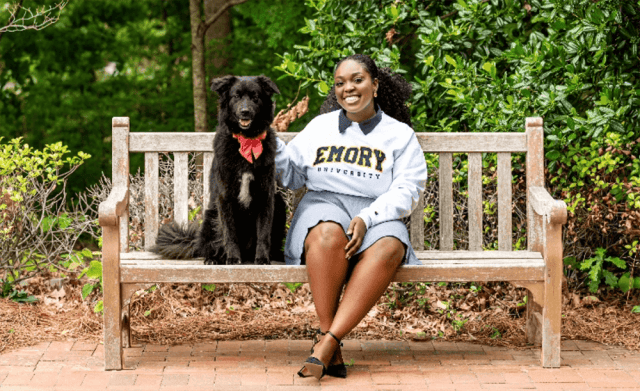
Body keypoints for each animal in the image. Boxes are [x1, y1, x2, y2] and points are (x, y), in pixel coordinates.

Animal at [150, 76, 284, 266]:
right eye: (236, 96)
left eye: (255, 97)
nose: (245, 112)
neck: (246, 141)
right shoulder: (224, 196)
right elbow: (229, 232)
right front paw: (233, 258)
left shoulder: (265, 196)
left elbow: (263, 233)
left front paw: (263, 258)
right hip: (210, 216)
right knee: (210, 245)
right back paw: (214, 258)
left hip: (279, 204)